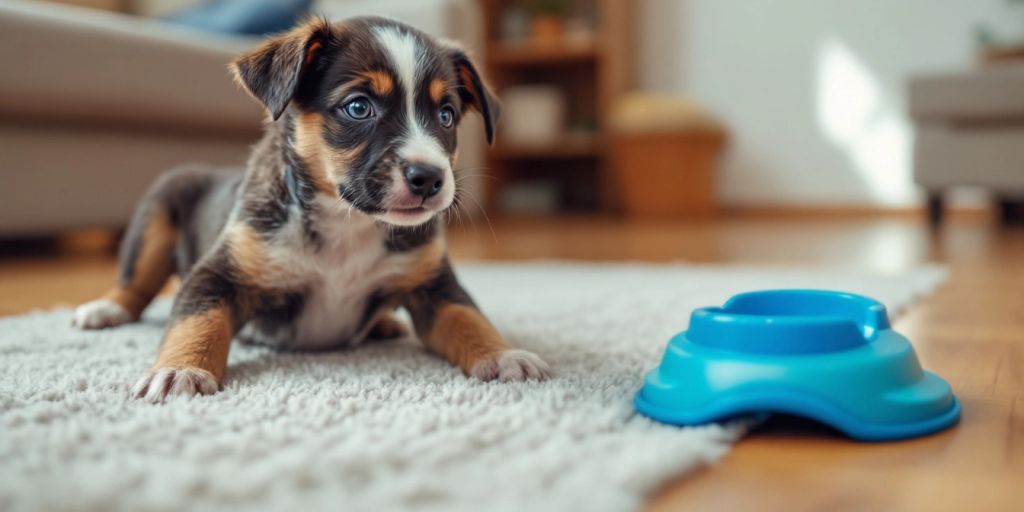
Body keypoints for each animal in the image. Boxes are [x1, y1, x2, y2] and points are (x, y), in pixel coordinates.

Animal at [72, 16, 552, 401]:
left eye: (447, 115)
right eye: (358, 107)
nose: (430, 178)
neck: (348, 222)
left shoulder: (436, 286)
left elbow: (469, 319)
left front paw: (505, 356)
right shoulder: (215, 274)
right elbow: (196, 323)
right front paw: (179, 370)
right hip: (158, 209)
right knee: (135, 282)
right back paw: (103, 310)